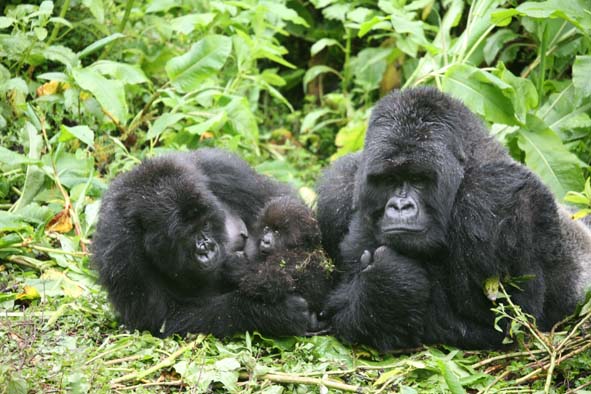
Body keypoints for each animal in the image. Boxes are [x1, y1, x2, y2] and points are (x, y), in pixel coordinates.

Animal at [92, 149, 314, 338]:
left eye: (205, 224)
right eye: (187, 235)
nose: (206, 248)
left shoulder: (223, 168)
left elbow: (281, 203)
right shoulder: (119, 242)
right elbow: (158, 321)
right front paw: (273, 313)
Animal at [316, 87, 591, 350]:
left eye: (418, 179)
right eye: (389, 180)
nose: (400, 205)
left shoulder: (493, 197)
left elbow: (510, 323)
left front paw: (387, 278)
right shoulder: (336, 189)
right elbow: (330, 308)